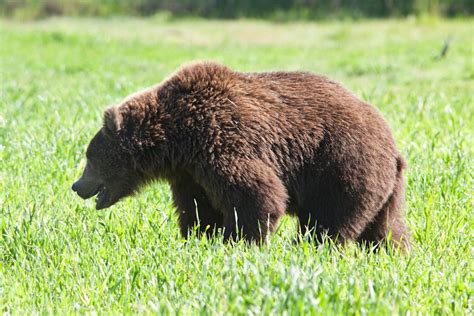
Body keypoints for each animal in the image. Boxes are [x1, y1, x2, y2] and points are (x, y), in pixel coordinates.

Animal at [72, 61, 410, 249]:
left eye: (90, 158)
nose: (76, 186)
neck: (176, 138)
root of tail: (393, 146)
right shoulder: (190, 172)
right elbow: (197, 207)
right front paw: (200, 236)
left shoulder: (220, 141)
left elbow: (256, 193)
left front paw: (239, 240)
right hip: (385, 187)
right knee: (386, 227)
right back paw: (392, 253)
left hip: (341, 163)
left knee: (329, 220)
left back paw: (310, 247)